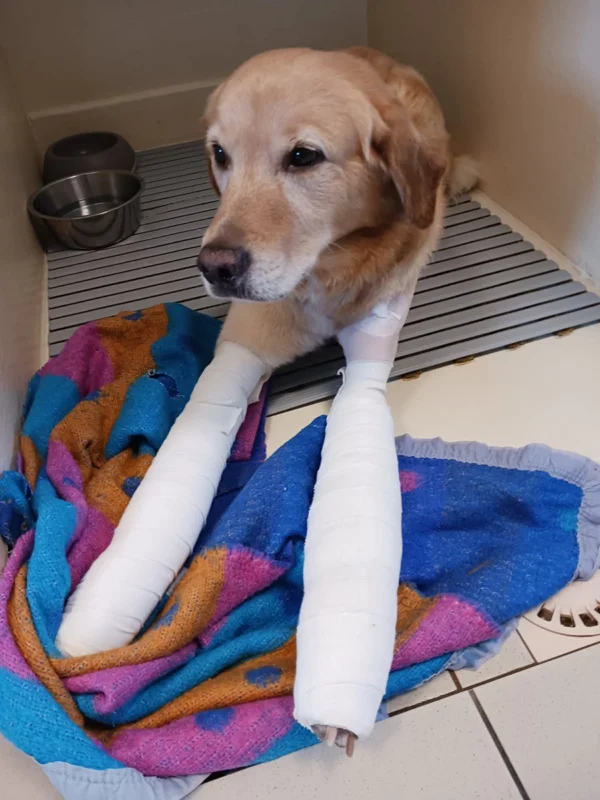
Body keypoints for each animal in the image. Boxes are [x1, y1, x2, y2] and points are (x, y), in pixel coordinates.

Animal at [198, 47, 477, 370]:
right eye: (220, 153)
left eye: (303, 156)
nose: (214, 267)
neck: (329, 269)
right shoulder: (246, 338)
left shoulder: (374, 335)